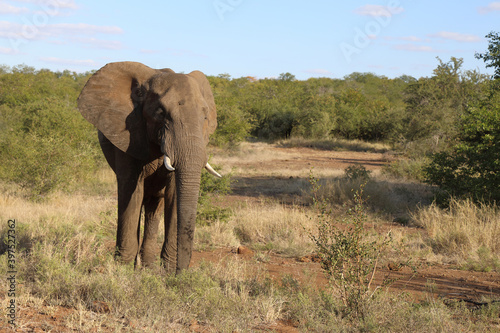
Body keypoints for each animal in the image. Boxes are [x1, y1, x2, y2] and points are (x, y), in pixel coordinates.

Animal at [76, 61, 221, 272]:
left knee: (154, 206)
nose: (181, 273)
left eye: (204, 117)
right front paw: (122, 269)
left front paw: (167, 270)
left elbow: (174, 193)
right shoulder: (129, 135)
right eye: (161, 113)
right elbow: (131, 189)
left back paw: (147, 266)